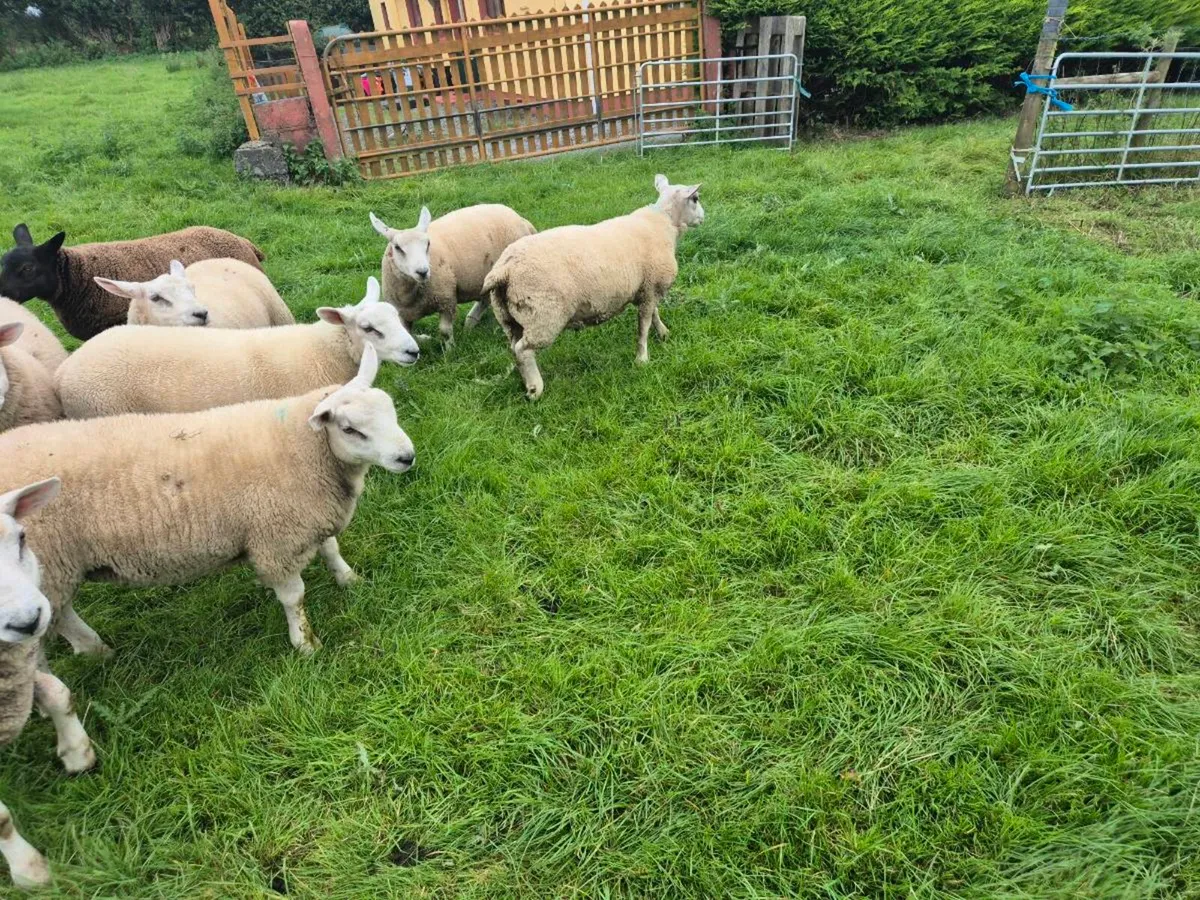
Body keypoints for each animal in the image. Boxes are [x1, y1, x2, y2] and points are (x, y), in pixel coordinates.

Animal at [0, 345, 414, 658]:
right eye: (350, 429)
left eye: (391, 409)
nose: (406, 457)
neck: (305, 449)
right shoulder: (277, 539)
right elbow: (294, 597)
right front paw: (306, 644)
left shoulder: (309, 517)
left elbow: (330, 548)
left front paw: (349, 579)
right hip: (50, 565)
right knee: (59, 616)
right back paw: (96, 652)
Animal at [369, 204, 536, 345]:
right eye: (397, 247)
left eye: (428, 244)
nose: (422, 271)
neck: (410, 294)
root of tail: (521, 220)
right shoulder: (403, 313)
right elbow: (407, 336)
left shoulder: (446, 299)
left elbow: (445, 331)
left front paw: (449, 352)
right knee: (485, 299)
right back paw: (470, 323)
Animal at [484, 175, 704, 401]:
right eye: (696, 198)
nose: (703, 217)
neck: (664, 224)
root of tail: (505, 269)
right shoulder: (651, 288)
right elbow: (643, 325)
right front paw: (642, 359)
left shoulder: (647, 288)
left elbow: (654, 314)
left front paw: (663, 333)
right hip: (543, 316)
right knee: (523, 350)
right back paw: (535, 389)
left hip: (510, 318)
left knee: (514, 347)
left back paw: (525, 381)